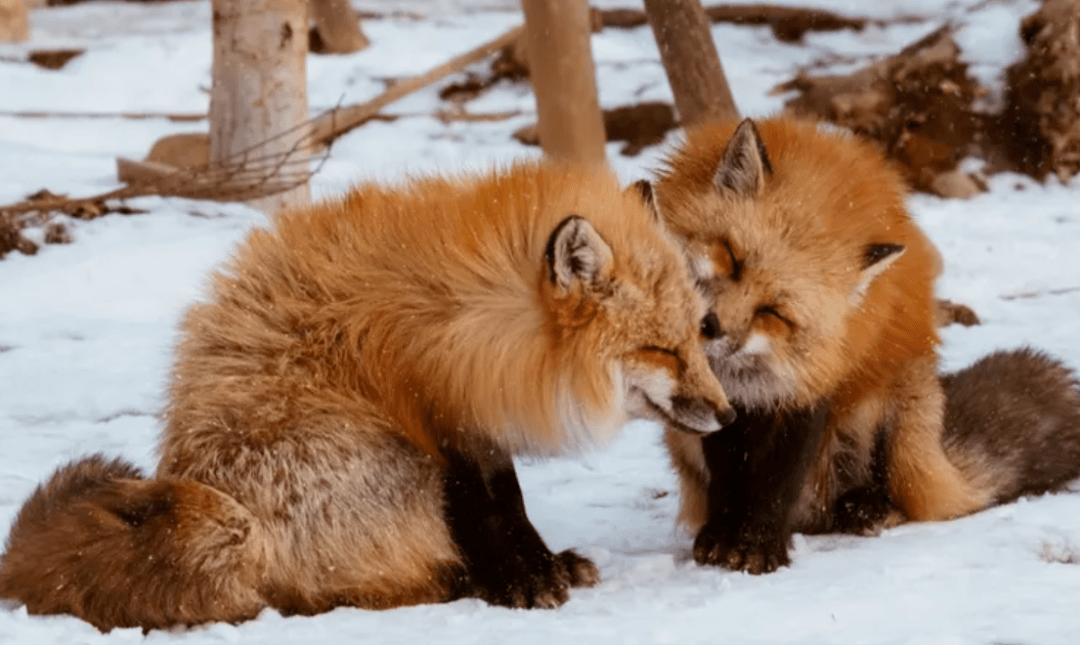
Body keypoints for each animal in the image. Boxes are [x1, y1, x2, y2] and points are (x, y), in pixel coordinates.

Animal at [0, 160, 734, 630]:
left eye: (698, 334)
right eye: (661, 351)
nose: (727, 414)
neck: (481, 322)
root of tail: (232, 514)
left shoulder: (475, 418)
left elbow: (509, 503)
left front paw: (542, 564)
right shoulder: (441, 423)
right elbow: (496, 509)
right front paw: (524, 579)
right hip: (394, 464)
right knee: (345, 590)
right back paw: (463, 582)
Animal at [643, 117, 1080, 574]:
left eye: (773, 312)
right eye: (730, 257)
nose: (708, 327)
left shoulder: (812, 382)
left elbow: (777, 481)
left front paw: (759, 545)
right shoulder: (722, 401)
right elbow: (728, 479)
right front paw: (723, 538)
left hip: (893, 416)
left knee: (895, 499)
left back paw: (867, 508)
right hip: (682, 431)